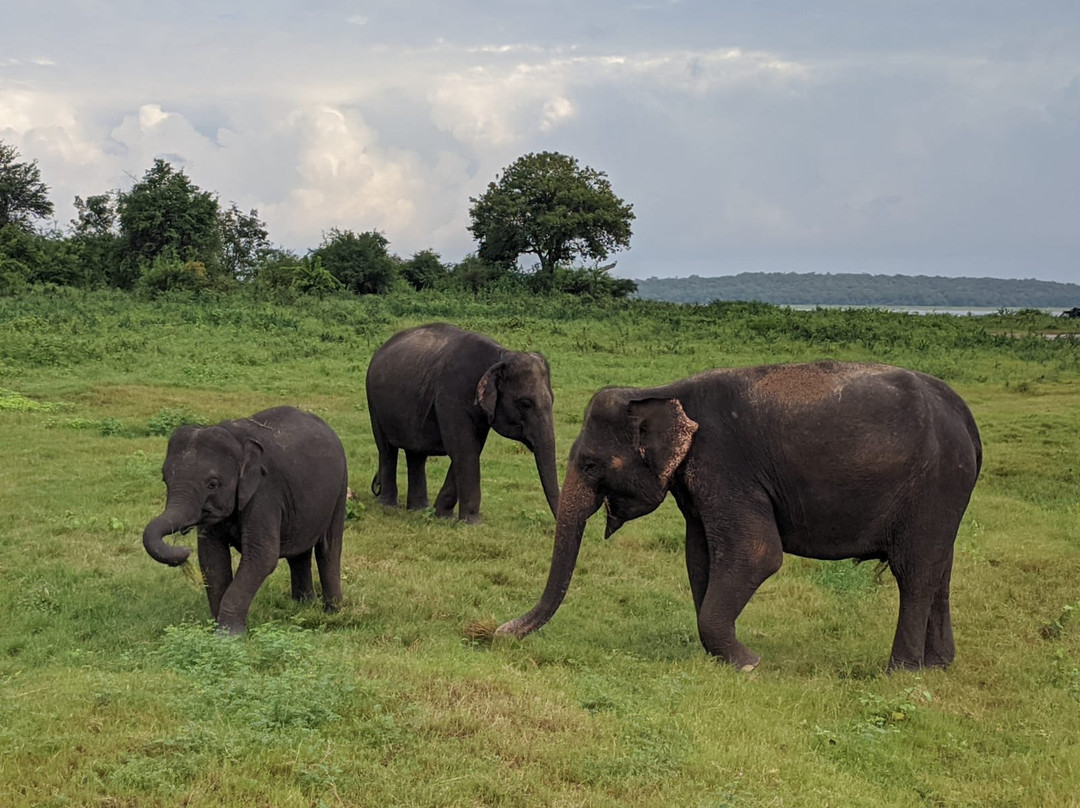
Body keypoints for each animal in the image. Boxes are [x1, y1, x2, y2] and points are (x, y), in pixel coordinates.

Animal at [142, 406, 348, 634]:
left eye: (213, 484)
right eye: (165, 480)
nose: (182, 553)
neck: (237, 440)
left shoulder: (265, 493)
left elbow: (262, 556)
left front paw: (228, 635)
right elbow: (211, 558)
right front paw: (217, 628)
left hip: (340, 487)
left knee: (328, 548)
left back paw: (332, 611)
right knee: (299, 553)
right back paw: (303, 606)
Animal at [365, 322, 560, 523]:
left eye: (552, 400)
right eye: (525, 404)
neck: (499, 355)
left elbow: (469, 449)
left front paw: (441, 514)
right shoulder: (451, 396)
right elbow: (463, 449)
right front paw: (472, 523)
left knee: (416, 454)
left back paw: (419, 509)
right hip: (373, 402)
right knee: (387, 449)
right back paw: (389, 506)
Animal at [497, 361, 982, 672]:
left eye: (592, 464)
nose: (497, 632)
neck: (664, 391)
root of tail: (966, 419)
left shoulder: (725, 462)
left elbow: (756, 553)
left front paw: (749, 664)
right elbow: (699, 555)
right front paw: (724, 657)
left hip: (936, 485)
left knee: (915, 572)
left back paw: (901, 671)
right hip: (945, 496)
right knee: (940, 568)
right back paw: (939, 665)